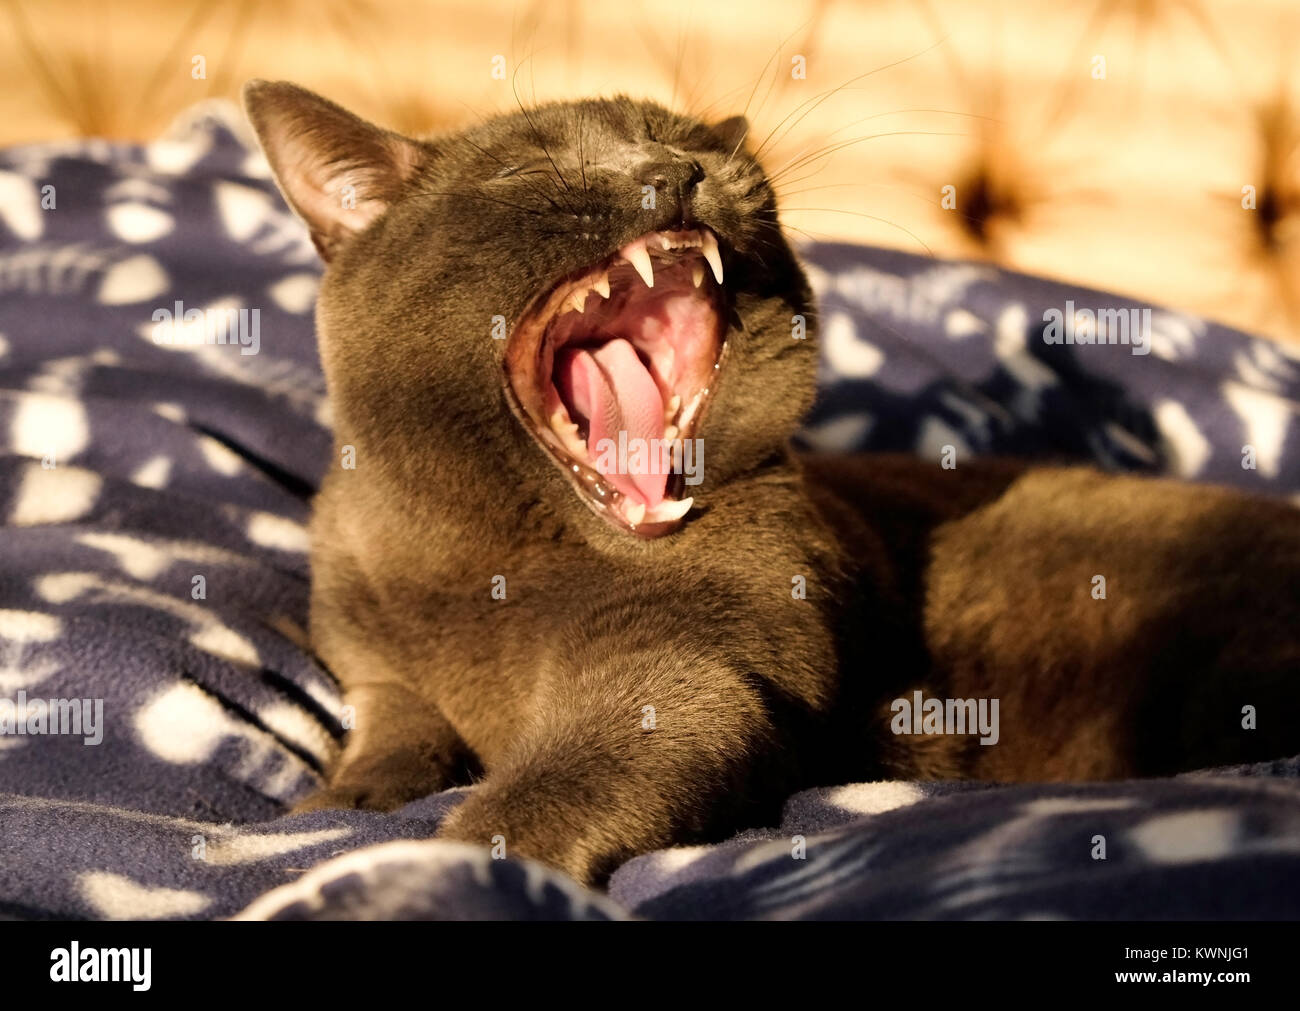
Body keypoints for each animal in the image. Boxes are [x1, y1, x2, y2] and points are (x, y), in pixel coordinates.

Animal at [241, 80, 1300, 883]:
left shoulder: (702, 651)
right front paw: (331, 802)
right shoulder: (369, 650)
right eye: (528, 170)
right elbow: (393, 723)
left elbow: (574, 771)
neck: (489, 567)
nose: (675, 173)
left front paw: (438, 864)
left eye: (685, 143)